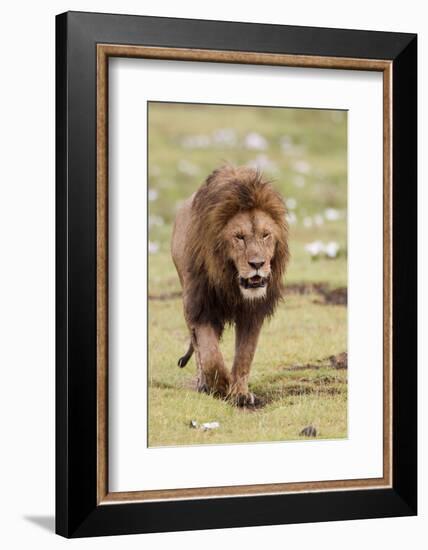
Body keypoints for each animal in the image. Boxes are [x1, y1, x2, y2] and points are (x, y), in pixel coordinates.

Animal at [172, 166, 290, 408]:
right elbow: (210, 355)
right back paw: (204, 384)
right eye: (239, 237)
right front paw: (221, 385)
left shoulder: (252, 312)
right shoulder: (200, 306)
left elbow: (245, 354)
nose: (257, 264)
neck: (230, 280)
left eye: (266, 234)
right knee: (199, 350)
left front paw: (240, 393)